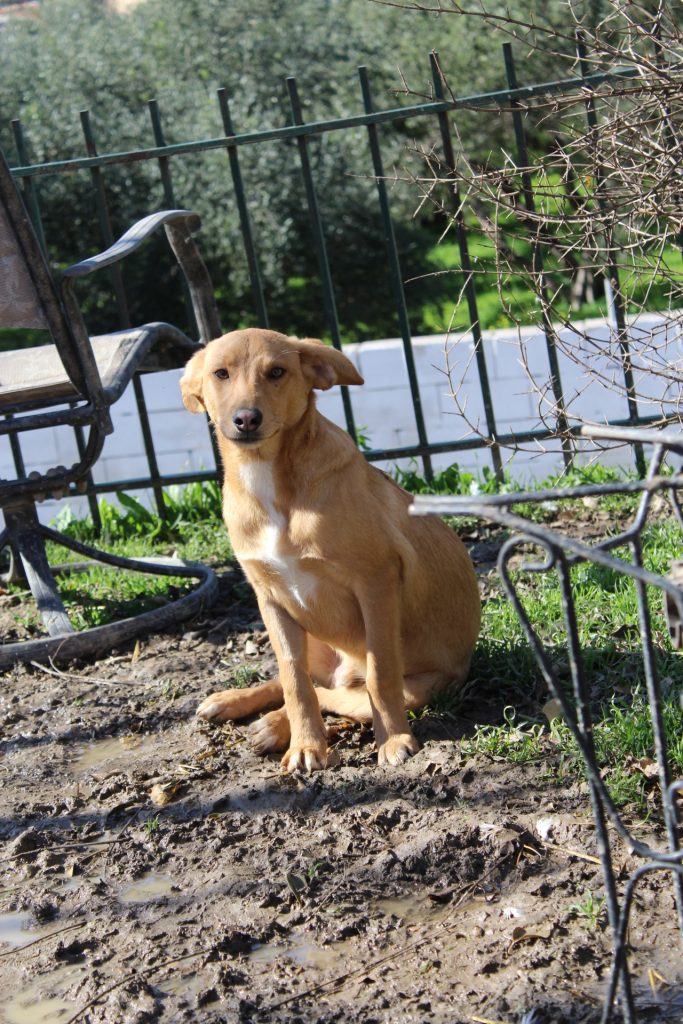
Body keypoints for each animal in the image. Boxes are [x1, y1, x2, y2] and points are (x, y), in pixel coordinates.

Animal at [180, 329, 480, 772]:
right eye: (220, 373)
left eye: (276, 372)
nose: (246, 418)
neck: (269, 480)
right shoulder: (270, 599)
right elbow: (293, 680)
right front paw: (306, 745)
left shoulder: (376, 582)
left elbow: (380, 676)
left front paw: (393, 740)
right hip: (311, 640)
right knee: (304, 681)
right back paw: (235, 703)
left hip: (421, 687)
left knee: (342, 694)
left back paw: (271, 725)